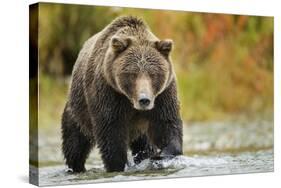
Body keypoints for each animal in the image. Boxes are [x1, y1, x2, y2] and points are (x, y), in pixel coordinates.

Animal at [61, 15, 182, 173]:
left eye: (153, 74)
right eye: (132, 74)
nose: (144, 100)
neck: (130, 101)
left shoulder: (163, 95)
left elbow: (167, 124)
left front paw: (160, 155)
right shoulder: (108, 94)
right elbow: (111, 133)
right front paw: (118, 165)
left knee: (144, 145)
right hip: (78, 113)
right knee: (74, 145)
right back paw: (76, 168)